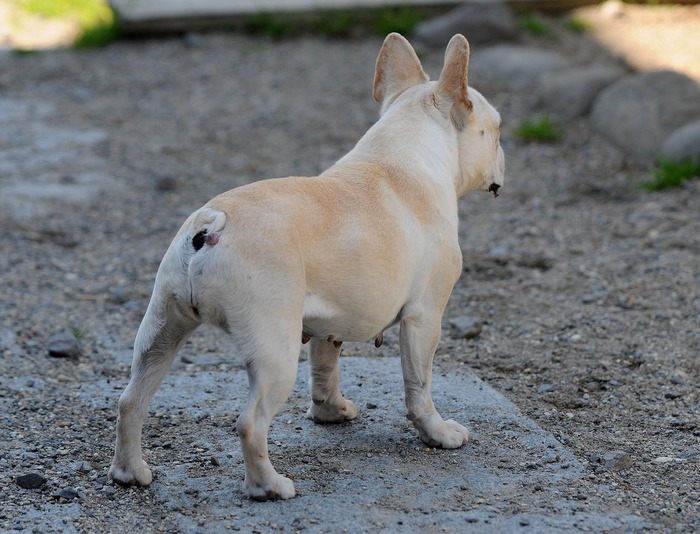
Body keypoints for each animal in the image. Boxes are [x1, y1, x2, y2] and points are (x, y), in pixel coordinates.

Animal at [108, 32, 504, 502]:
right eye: (498, 129)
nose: (505, 157)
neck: (400, 155)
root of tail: (213, 222)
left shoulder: (328, 322)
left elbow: (325, 367)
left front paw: (331, 413)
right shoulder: (424, 318)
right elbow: (419, 385)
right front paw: (438, 433)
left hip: (161, 328)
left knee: (132, 399)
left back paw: (130, 472)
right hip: (274, 348)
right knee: (250, 424)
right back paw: (269, 487)